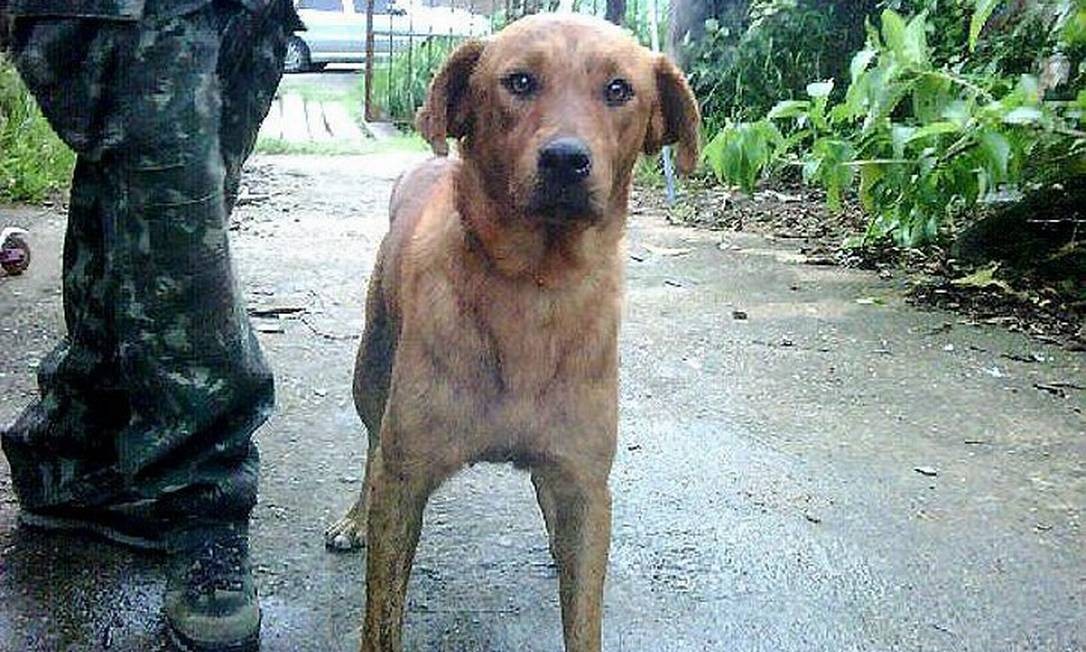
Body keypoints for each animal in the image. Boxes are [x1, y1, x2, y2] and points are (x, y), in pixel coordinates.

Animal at [323, 11, 695, 652]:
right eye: (519, 81)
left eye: (618, 89)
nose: (566, 160)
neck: (534, 285)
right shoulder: (406, 478)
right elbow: (382, 617)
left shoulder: (585, 484)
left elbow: (583, 614)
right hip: (371, 370)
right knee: (371, 444)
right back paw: (353, 518)